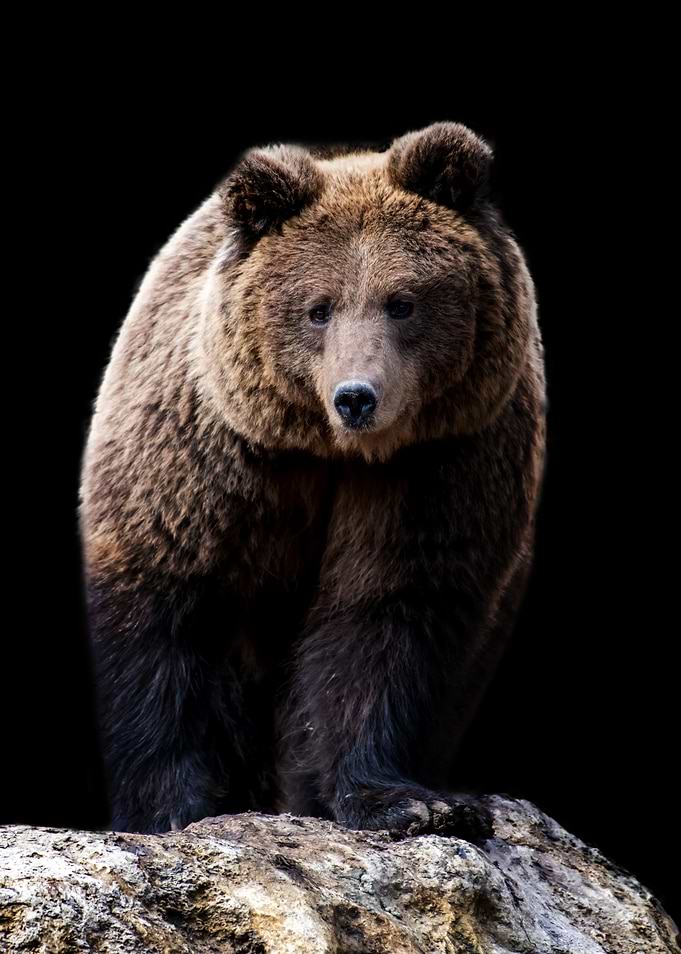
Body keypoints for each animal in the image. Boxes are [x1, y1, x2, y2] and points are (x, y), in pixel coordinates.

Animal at [79, 121, 546, 839]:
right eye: (318, 308)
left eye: (402, 302)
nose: (357, 397)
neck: (330, 453)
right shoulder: (203, 466)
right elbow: (165, 623)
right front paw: (172, 811)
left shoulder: (436, 470)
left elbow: (383, 616)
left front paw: (410, 802)